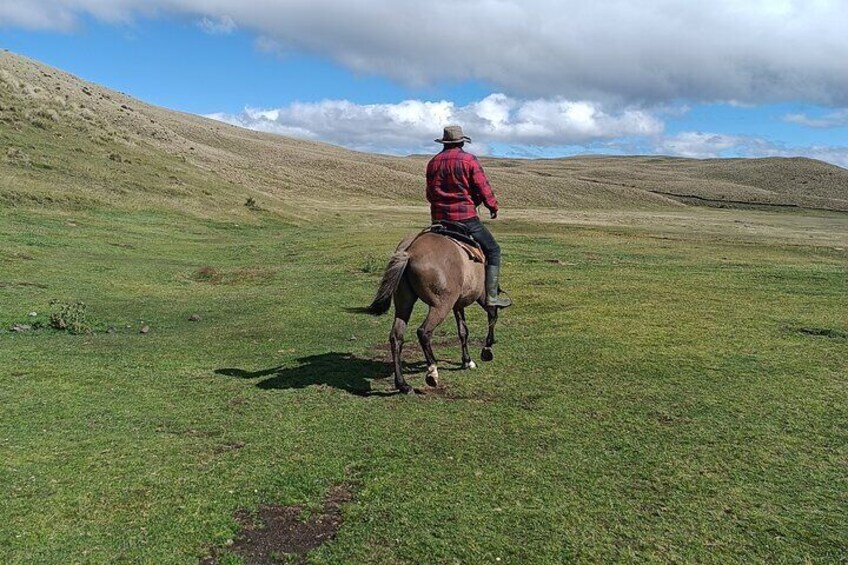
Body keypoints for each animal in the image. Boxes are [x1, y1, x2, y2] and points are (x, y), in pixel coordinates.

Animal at [362, 228, 496, 392]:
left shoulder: (458, 304)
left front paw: (467, 361)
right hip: (441, 305)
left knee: (396, 336)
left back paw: (403, 385)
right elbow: (492, 315)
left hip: (404, 304)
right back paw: (432, 372)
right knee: (423, 332)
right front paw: (487, 350)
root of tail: (410, 251)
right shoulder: (483, 295)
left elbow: (463, 331)